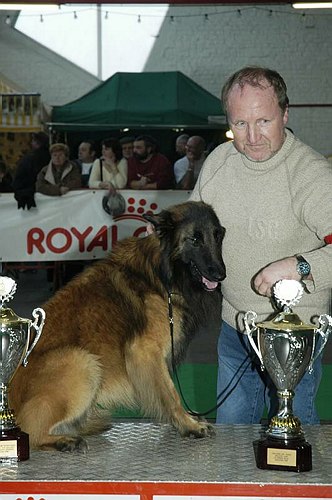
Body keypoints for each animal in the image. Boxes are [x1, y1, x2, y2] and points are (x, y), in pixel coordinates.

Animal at [9, 201, 226, 452]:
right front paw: (188, 424)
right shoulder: (145, 352)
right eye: (194, 239)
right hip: (82, 362)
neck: (162, 275)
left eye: (217, 236)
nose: (220, 274)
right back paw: (64, 440)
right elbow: (171, 394)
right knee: (29, 430)